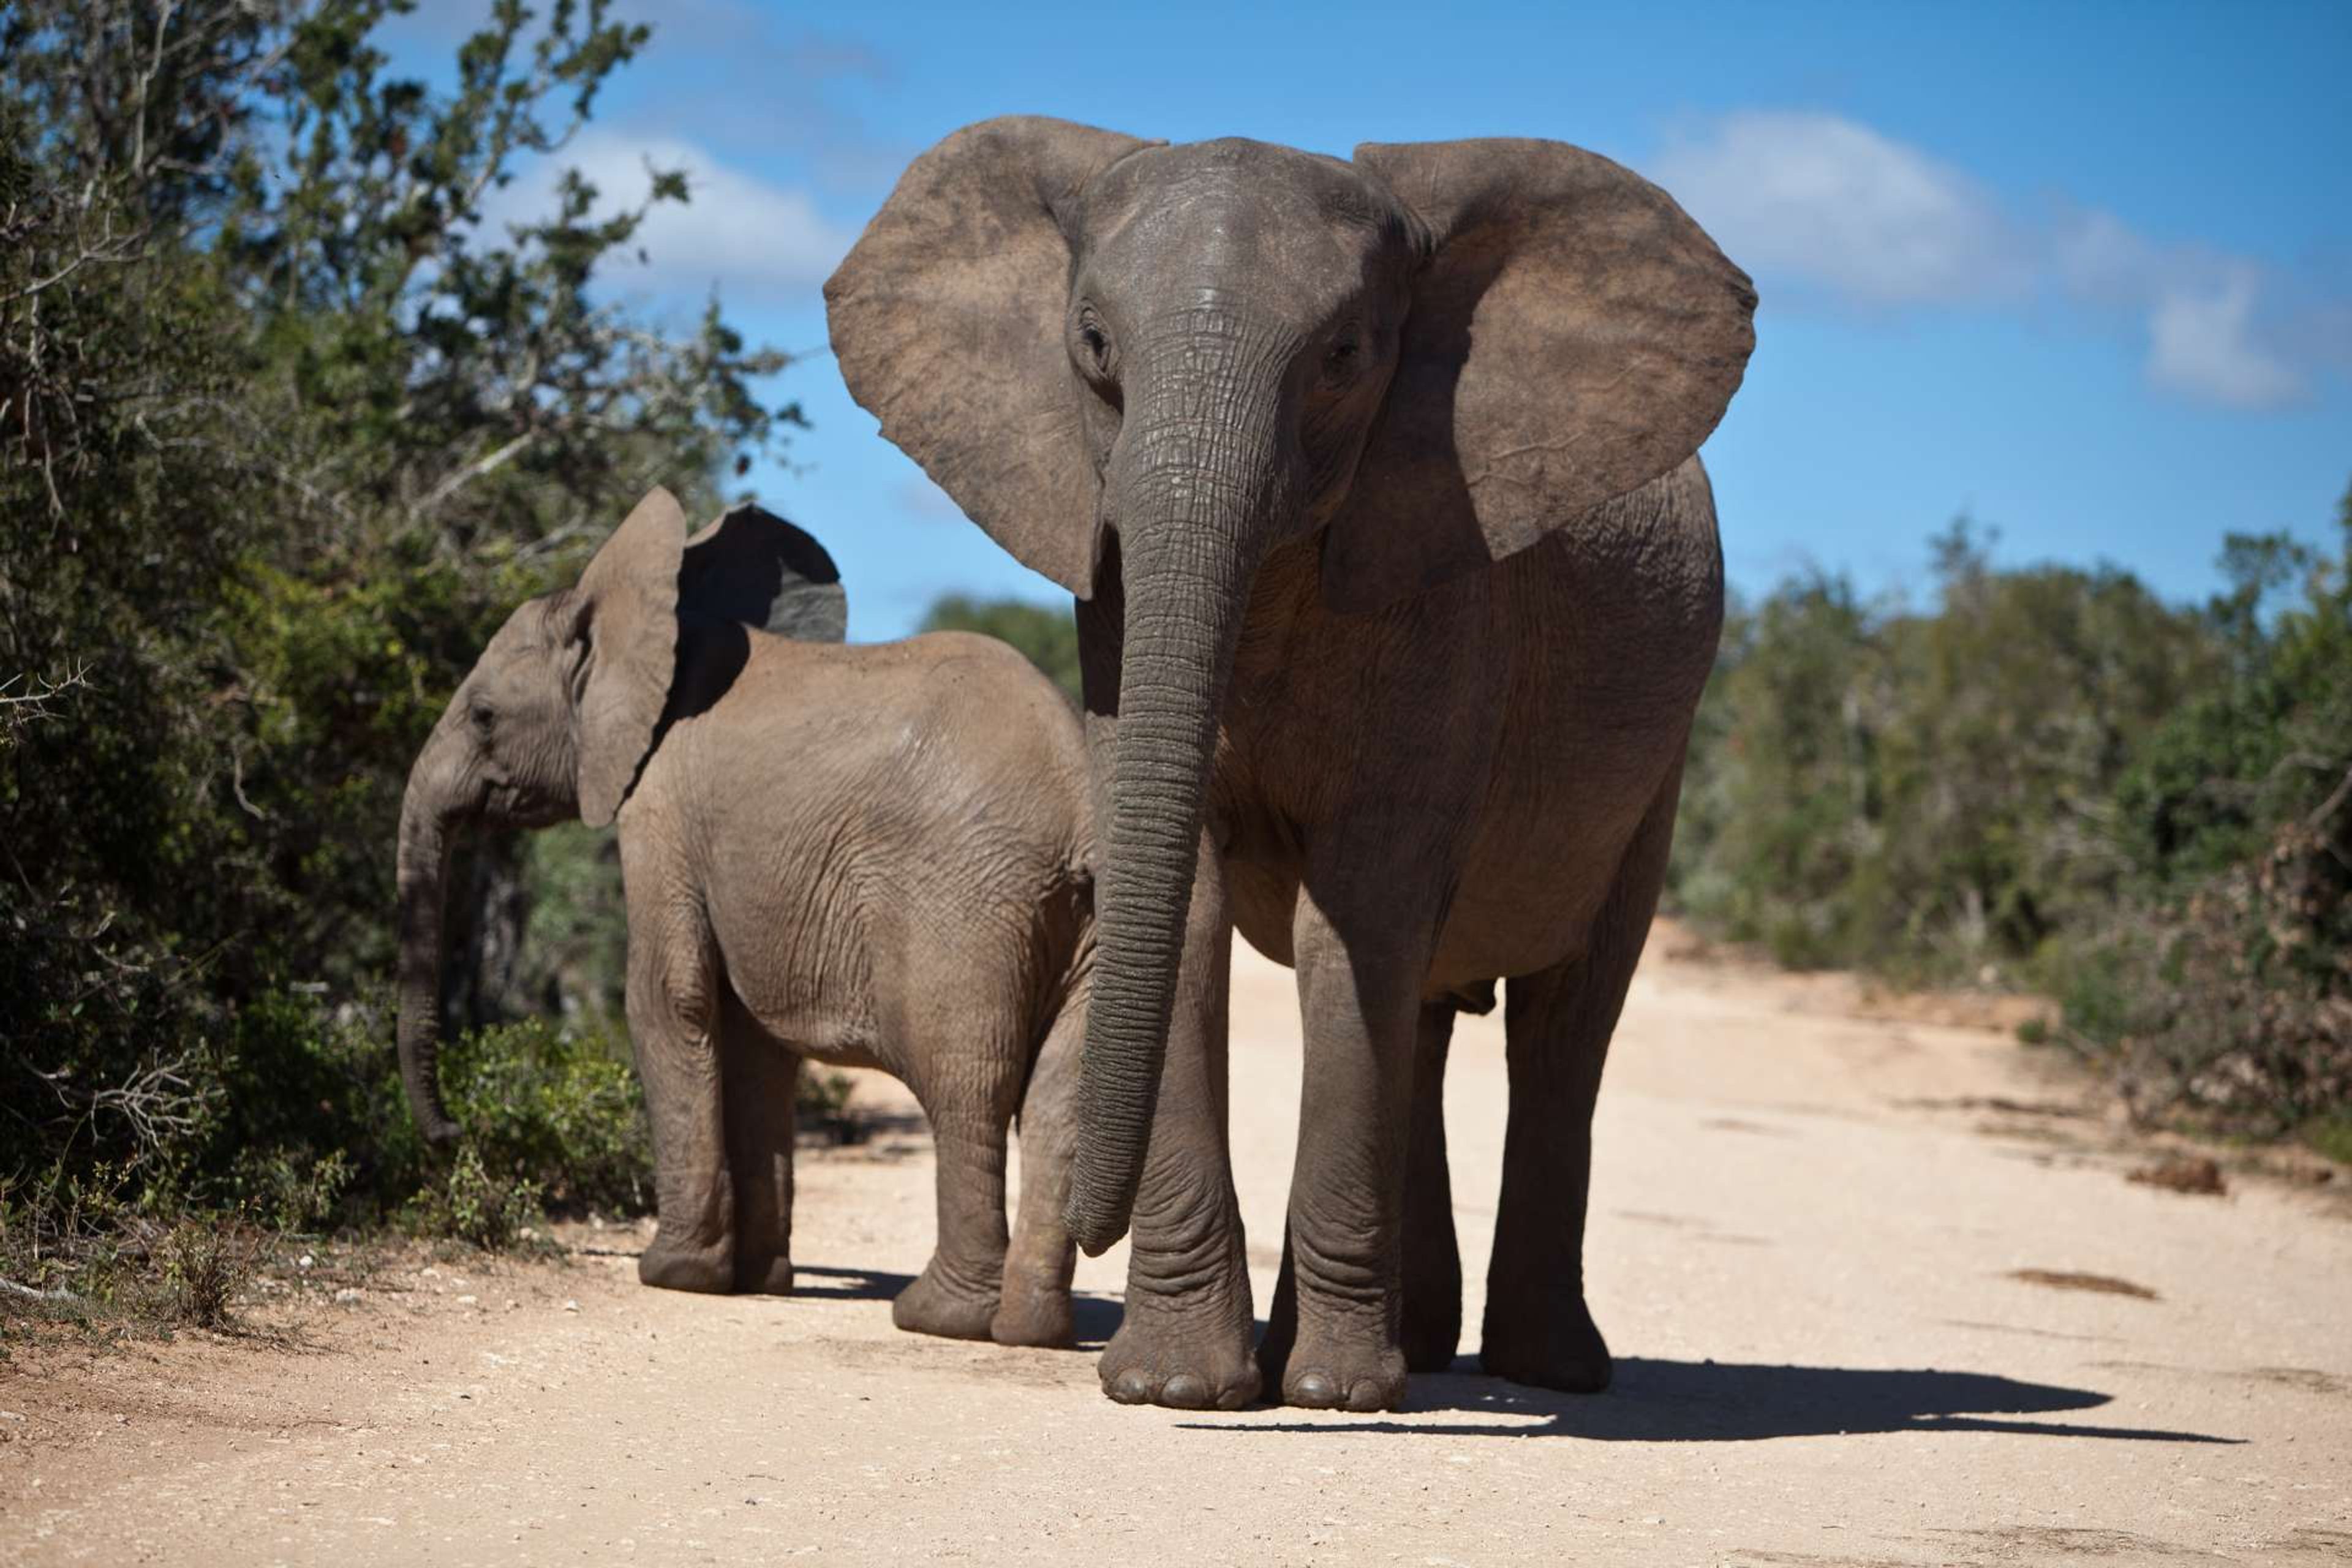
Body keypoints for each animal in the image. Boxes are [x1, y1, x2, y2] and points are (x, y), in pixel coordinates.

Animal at [399, 491, 1096, 1354]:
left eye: (484, 716)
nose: (452, 1135)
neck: (663, 625)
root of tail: (1079, 798)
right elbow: (755, 1042)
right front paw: (760, 1282)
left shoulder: (658, 806)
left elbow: (666, 1000)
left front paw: (674, 1275)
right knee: (1061, 1093)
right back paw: (1032, 1329)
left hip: (965, 903)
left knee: (966, 1085)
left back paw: (937, 1317)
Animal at [823, 119, 1749, 1410]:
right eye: (1094, 347)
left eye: (1345, 356)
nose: (1085, 1246)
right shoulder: (1107, 594)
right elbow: (1199, 909)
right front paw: (1182, 1390)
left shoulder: (1448, 574)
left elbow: (1350, 919)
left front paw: (1335, 1400)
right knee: (1426, 1011)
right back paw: (1409, 1346)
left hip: (1659, 753)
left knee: (1563, 1020)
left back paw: (1543, 1370)